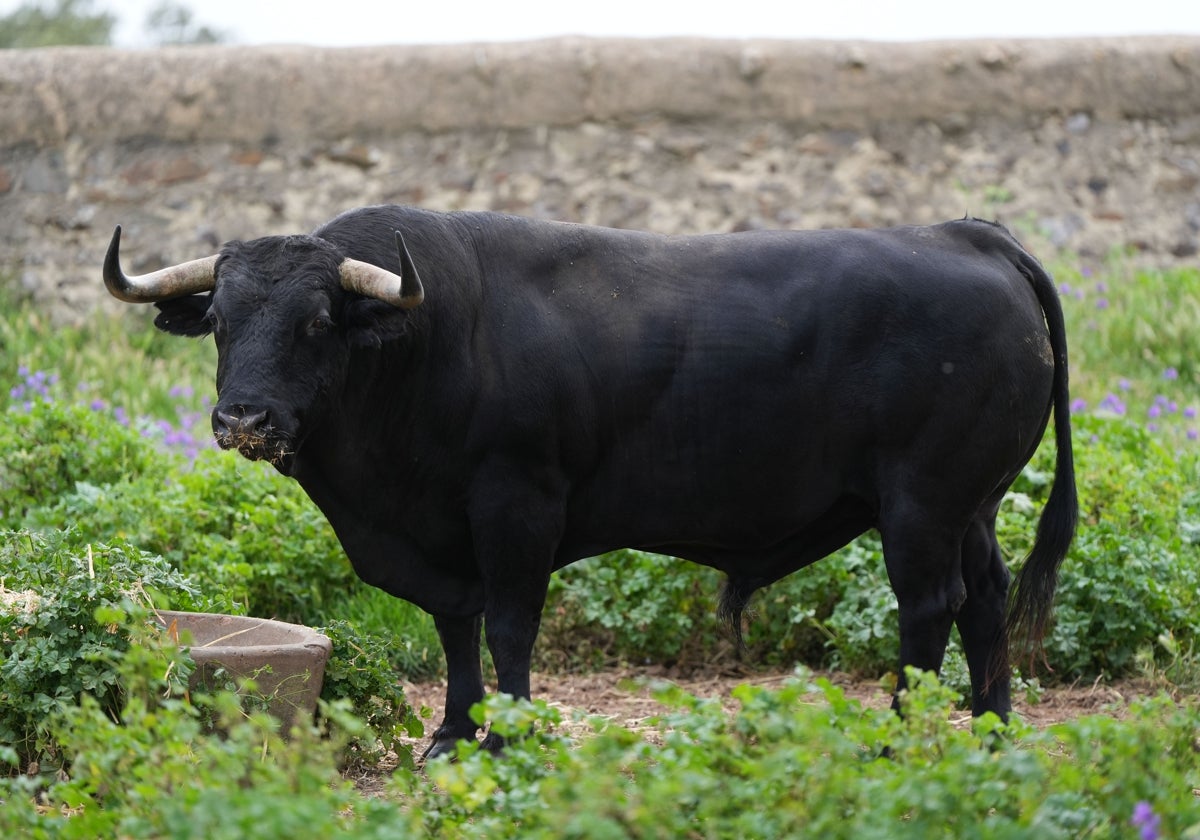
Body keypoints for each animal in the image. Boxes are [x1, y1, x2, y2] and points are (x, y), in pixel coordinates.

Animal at [103, 206, 1080, 758]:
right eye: (223, 320)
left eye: (315, 321)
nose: (245, 420)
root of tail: (970, 236)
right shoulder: (440, 539)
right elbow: (457, 630)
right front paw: (451, 735)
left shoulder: (516, 507)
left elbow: (509, 628)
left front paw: (506, 738)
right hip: (972, 506)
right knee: (986, 601)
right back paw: (991, 735)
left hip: (921, 506)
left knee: (931, 608)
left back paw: (895, 742)